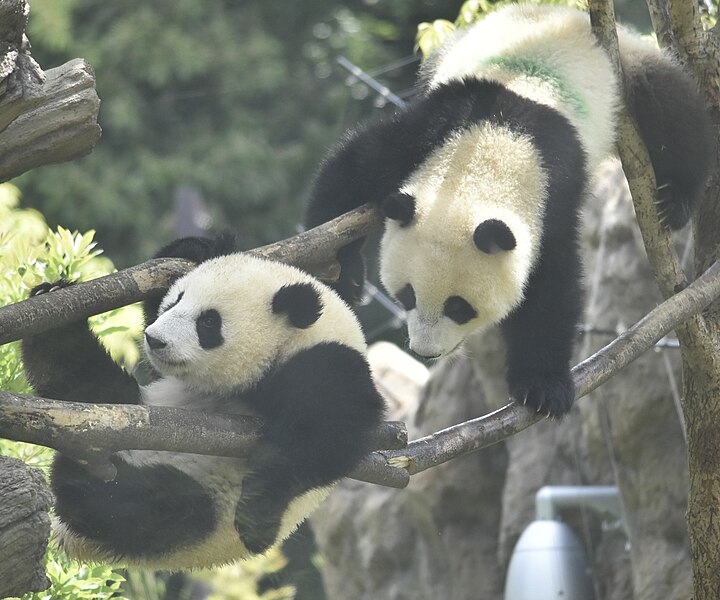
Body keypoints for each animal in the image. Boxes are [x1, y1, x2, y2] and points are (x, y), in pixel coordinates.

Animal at [21, 243, 382, 568]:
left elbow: (324, 439)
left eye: (208, 322)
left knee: (157, 506)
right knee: (90, 381)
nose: (154, 340)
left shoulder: (328, 366)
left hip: (201, 520)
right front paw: (195, 247)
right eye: (175, 301)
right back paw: (56, 323)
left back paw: (80, 478)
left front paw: (257, 513)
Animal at [302, 3, 708, 418]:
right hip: (448, 52)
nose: (424, 352)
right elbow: (351, 172)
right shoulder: (432, 128)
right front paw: (341, 276)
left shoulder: (554, 190)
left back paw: (674, 201)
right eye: (407, 296)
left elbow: (551, 283)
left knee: (672, 108)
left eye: (459, 307)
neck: (494, 147)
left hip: (625, 67)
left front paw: (543, 388)